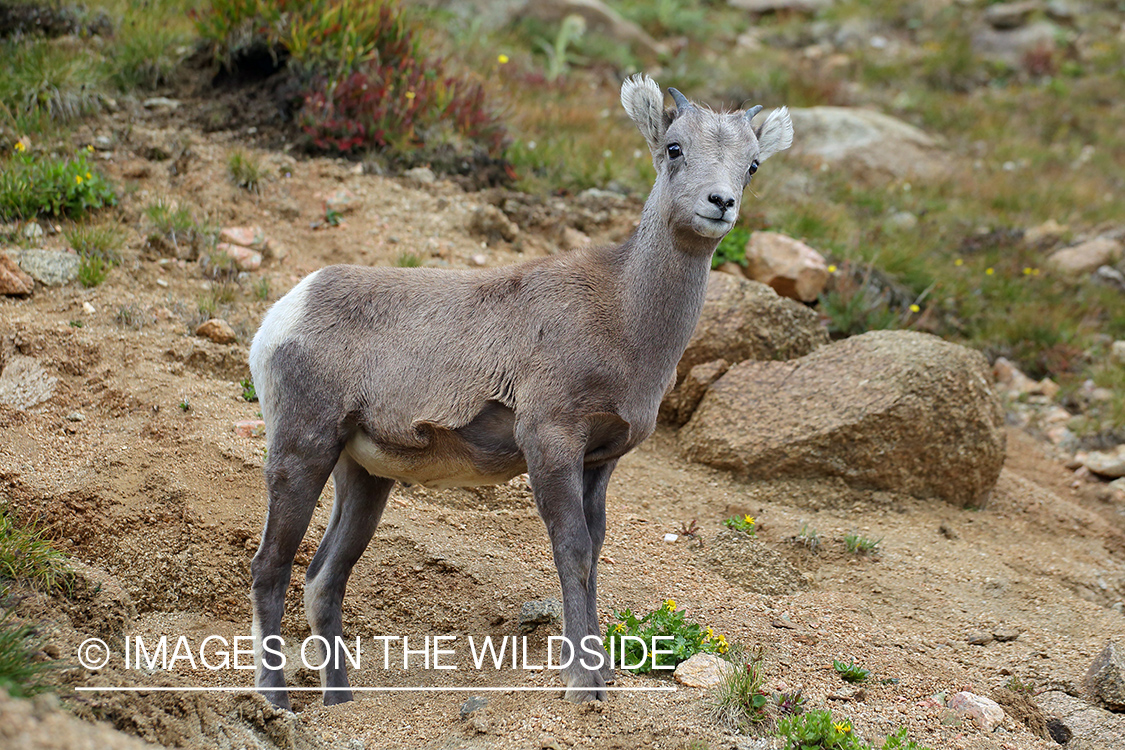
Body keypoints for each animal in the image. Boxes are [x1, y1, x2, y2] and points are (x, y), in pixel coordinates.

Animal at [248, 76, 792, 710]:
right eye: (674, 147)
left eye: (752, 165)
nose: (719, 203)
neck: (625, 317)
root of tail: (281, 317)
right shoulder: (549, 440)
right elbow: (572, 552)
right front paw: (583, 689)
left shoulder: (599, 460)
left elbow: (593, 557)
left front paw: (602, 678)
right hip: (302, 451)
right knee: (270, 568)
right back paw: (276, 705)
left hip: (362, 475)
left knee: (323, 580)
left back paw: (340, 704)